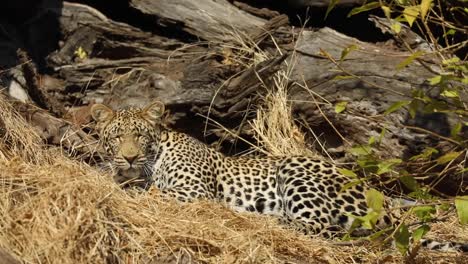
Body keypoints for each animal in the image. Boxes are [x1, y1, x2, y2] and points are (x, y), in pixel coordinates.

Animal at [91, 100, 468, 253]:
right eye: (117, 137)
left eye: (140, 135)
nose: (129, 156)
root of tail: (386, 204)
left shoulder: (194, 191)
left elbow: (152, 194)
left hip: (296, 170)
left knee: (322, 227)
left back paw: (266, 220)